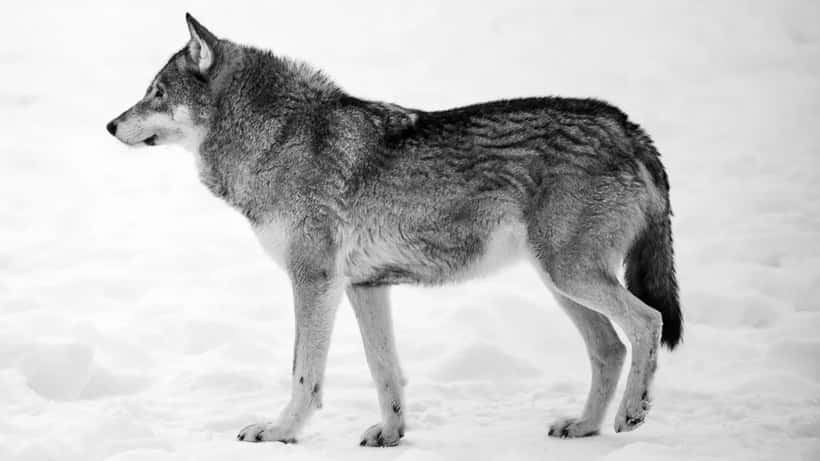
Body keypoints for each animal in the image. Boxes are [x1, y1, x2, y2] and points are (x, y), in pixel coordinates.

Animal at [107, 13, 682, 447]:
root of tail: (628, 127)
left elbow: (303, 372)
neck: (277, 140)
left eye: (156, 93)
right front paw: (391, 434)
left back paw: (631, 414)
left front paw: (280, 432)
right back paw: (583, 427)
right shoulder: (365, 286)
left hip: (569, 275)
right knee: (609, 349)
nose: (110, 125)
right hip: (560, 282)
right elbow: (383, 368)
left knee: (647, 322)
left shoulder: (313, 281)